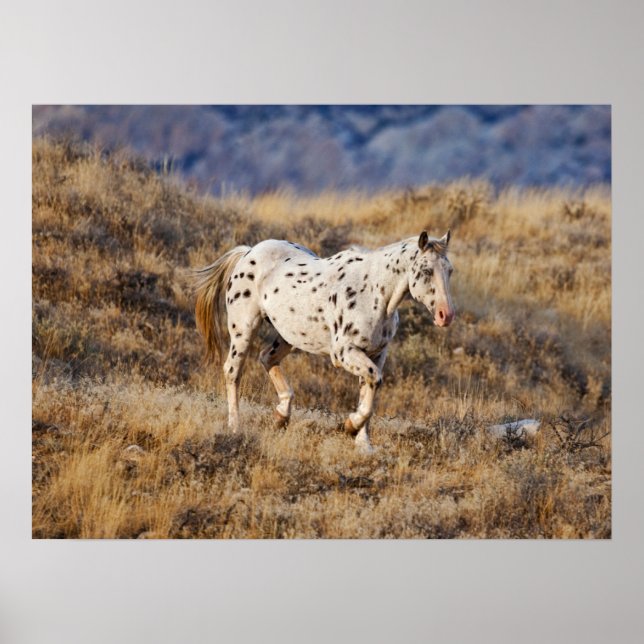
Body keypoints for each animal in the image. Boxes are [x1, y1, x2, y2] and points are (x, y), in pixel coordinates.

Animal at [194, 230, 455, 452]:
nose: (446, 315)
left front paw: (363, 445)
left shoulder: (377, 354)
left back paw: (281, 416)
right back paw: (235, 427)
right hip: (243, 330)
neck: (374, 292)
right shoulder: (344, 352)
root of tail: (249, 252)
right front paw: (350, 426)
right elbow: (373, 384)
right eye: (426, 271)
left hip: (288, 335)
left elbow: (369, 390)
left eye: (450, 270)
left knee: (267, 357)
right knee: (232, 371)